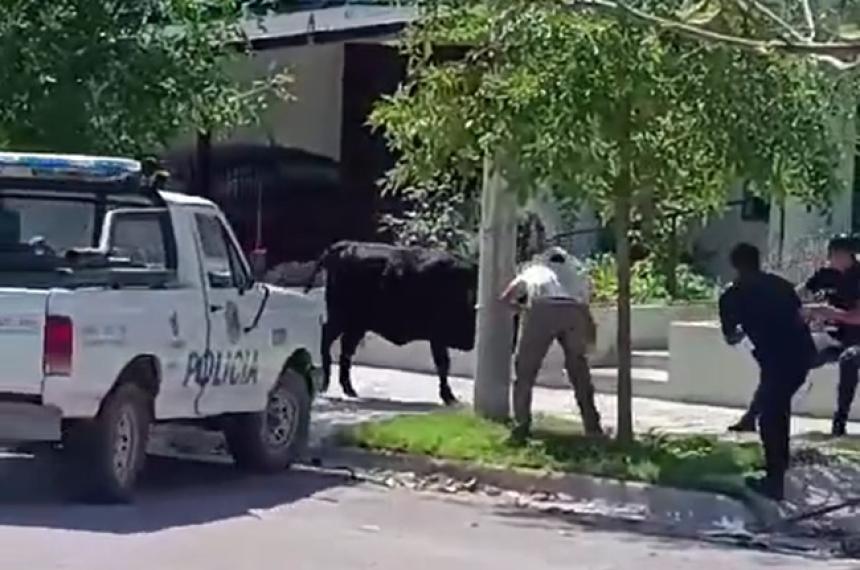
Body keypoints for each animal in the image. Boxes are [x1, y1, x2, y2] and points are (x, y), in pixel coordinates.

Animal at [304, 240, 512, 404]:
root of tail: (347, 246)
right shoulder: (437, 336)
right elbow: (443, 364)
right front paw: (448, 396)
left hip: (357, 324)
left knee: (346, 350)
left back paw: (349, 388)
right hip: (340, 317)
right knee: (327, 339)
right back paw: (325, 384)